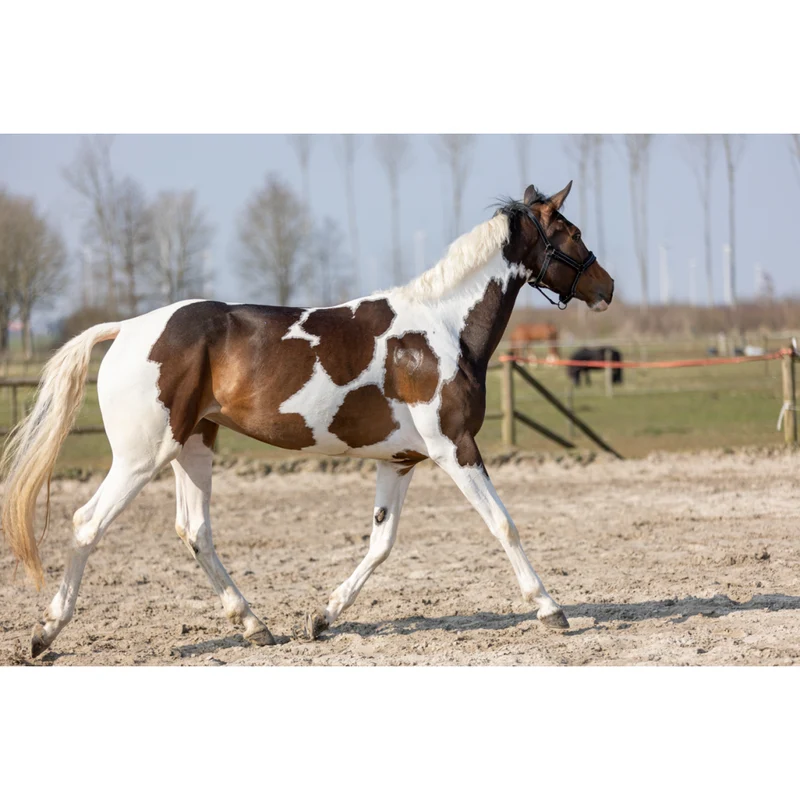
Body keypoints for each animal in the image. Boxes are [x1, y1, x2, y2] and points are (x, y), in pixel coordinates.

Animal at [1, 181, 614, 658]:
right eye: (572, 232)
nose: (606, 286)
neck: (441, 330)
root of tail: (126, 328)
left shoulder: (401, 460)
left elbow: (381, 543)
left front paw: (321, 618)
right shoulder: (454, 447)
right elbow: (503, 524)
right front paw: (551, 609)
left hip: (192, 447)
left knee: (195, 531)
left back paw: (255, 626)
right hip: (139, 457)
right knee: (87, 523)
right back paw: (45, 634)